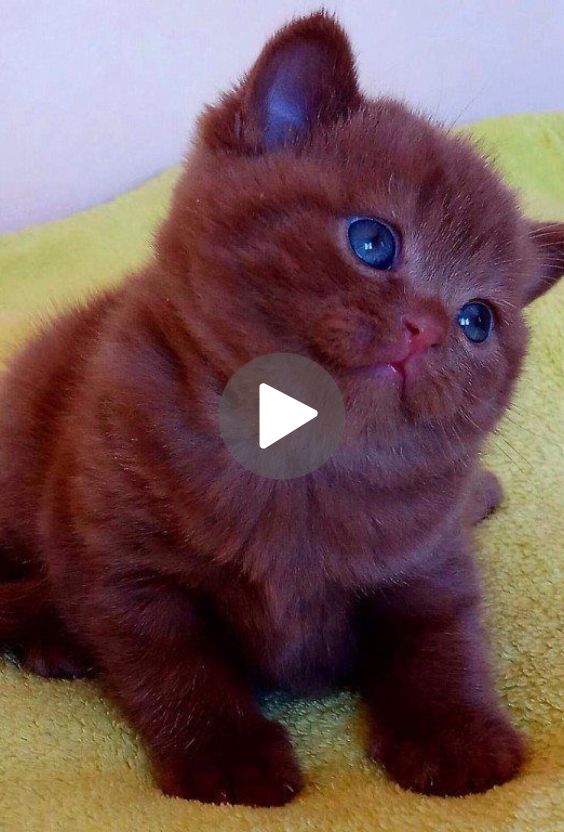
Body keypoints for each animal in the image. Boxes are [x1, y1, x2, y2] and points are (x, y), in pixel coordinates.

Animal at [1, 11, 564, 808]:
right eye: (372, 240)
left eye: (477, 320)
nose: (426, 328)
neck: (299, 462)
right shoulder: (121, 556)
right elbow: (177, 663)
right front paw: (229, 759)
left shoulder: (429, 559)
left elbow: (443, 642)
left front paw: (460, 740)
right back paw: (50, 633)